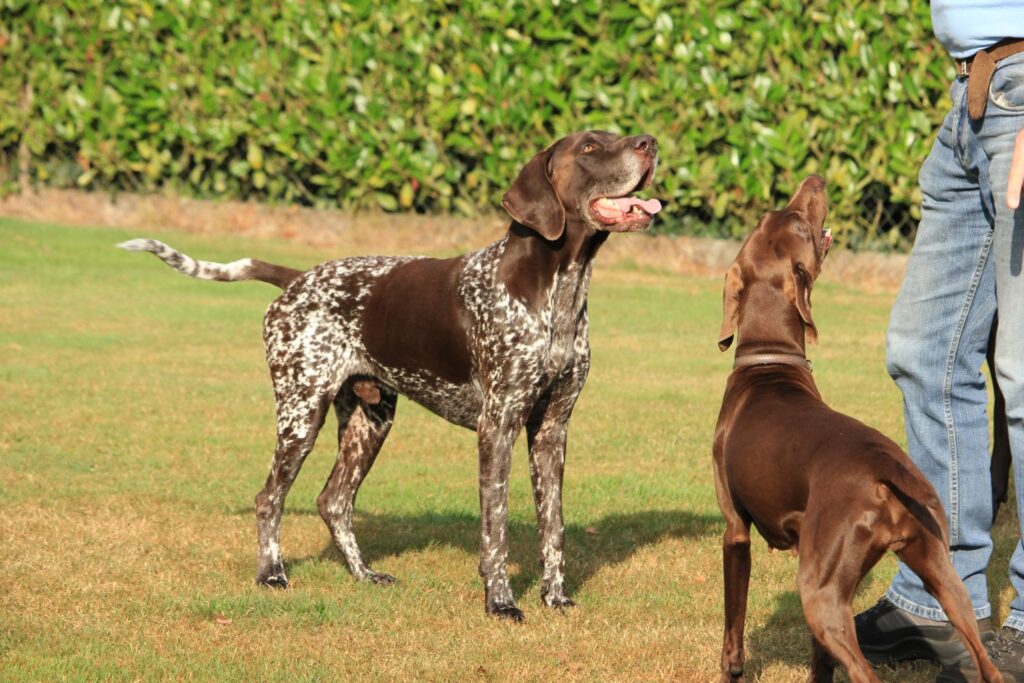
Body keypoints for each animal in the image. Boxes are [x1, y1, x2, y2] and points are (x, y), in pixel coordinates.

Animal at [117, 131, 663, 622]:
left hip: (370, 419)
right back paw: (271, 575)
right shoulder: (498, 427)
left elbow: (554, 527)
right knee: (270, 497)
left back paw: (364, 575)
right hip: (301, 413)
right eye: (590, 147)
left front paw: (556, 598)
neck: (556, 291)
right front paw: (501, 603)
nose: (650, 143)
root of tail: (297, 278)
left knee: (333, 501)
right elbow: (497, 527)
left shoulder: (552, 429)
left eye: (615, 134)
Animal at [712, 178, 999, 683]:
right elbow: (820, 661)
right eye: (776, 215)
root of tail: (886, 470)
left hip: (820, 592)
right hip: (943, 577)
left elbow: (733, 633)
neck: (767, 362)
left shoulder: (735, 529)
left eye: (796, 221)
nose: (815, 181)